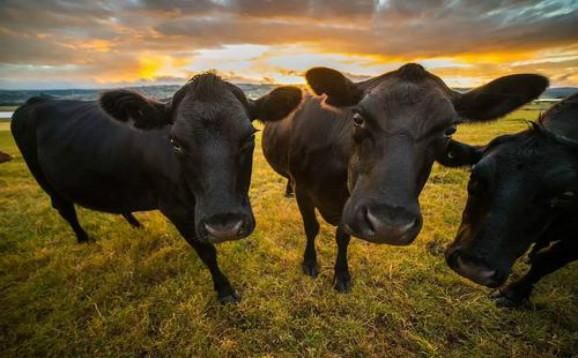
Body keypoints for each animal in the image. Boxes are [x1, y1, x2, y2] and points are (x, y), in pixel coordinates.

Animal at [11, 73, 302, 302]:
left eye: (249, 137)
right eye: (175, 142)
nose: (225, 226)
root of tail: (36, 100)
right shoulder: (175, 208)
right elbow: (206, 251)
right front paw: (225, 290)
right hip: (43, 177)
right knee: (64, 207)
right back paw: (84, 239)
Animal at [260, 63, 544, 290]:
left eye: (449, 130)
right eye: (358, 118)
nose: (390, 225)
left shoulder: (348, 206)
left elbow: (343, 236)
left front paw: (341, 275)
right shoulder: (304, 189)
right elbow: (312, 227)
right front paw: (310, 263)